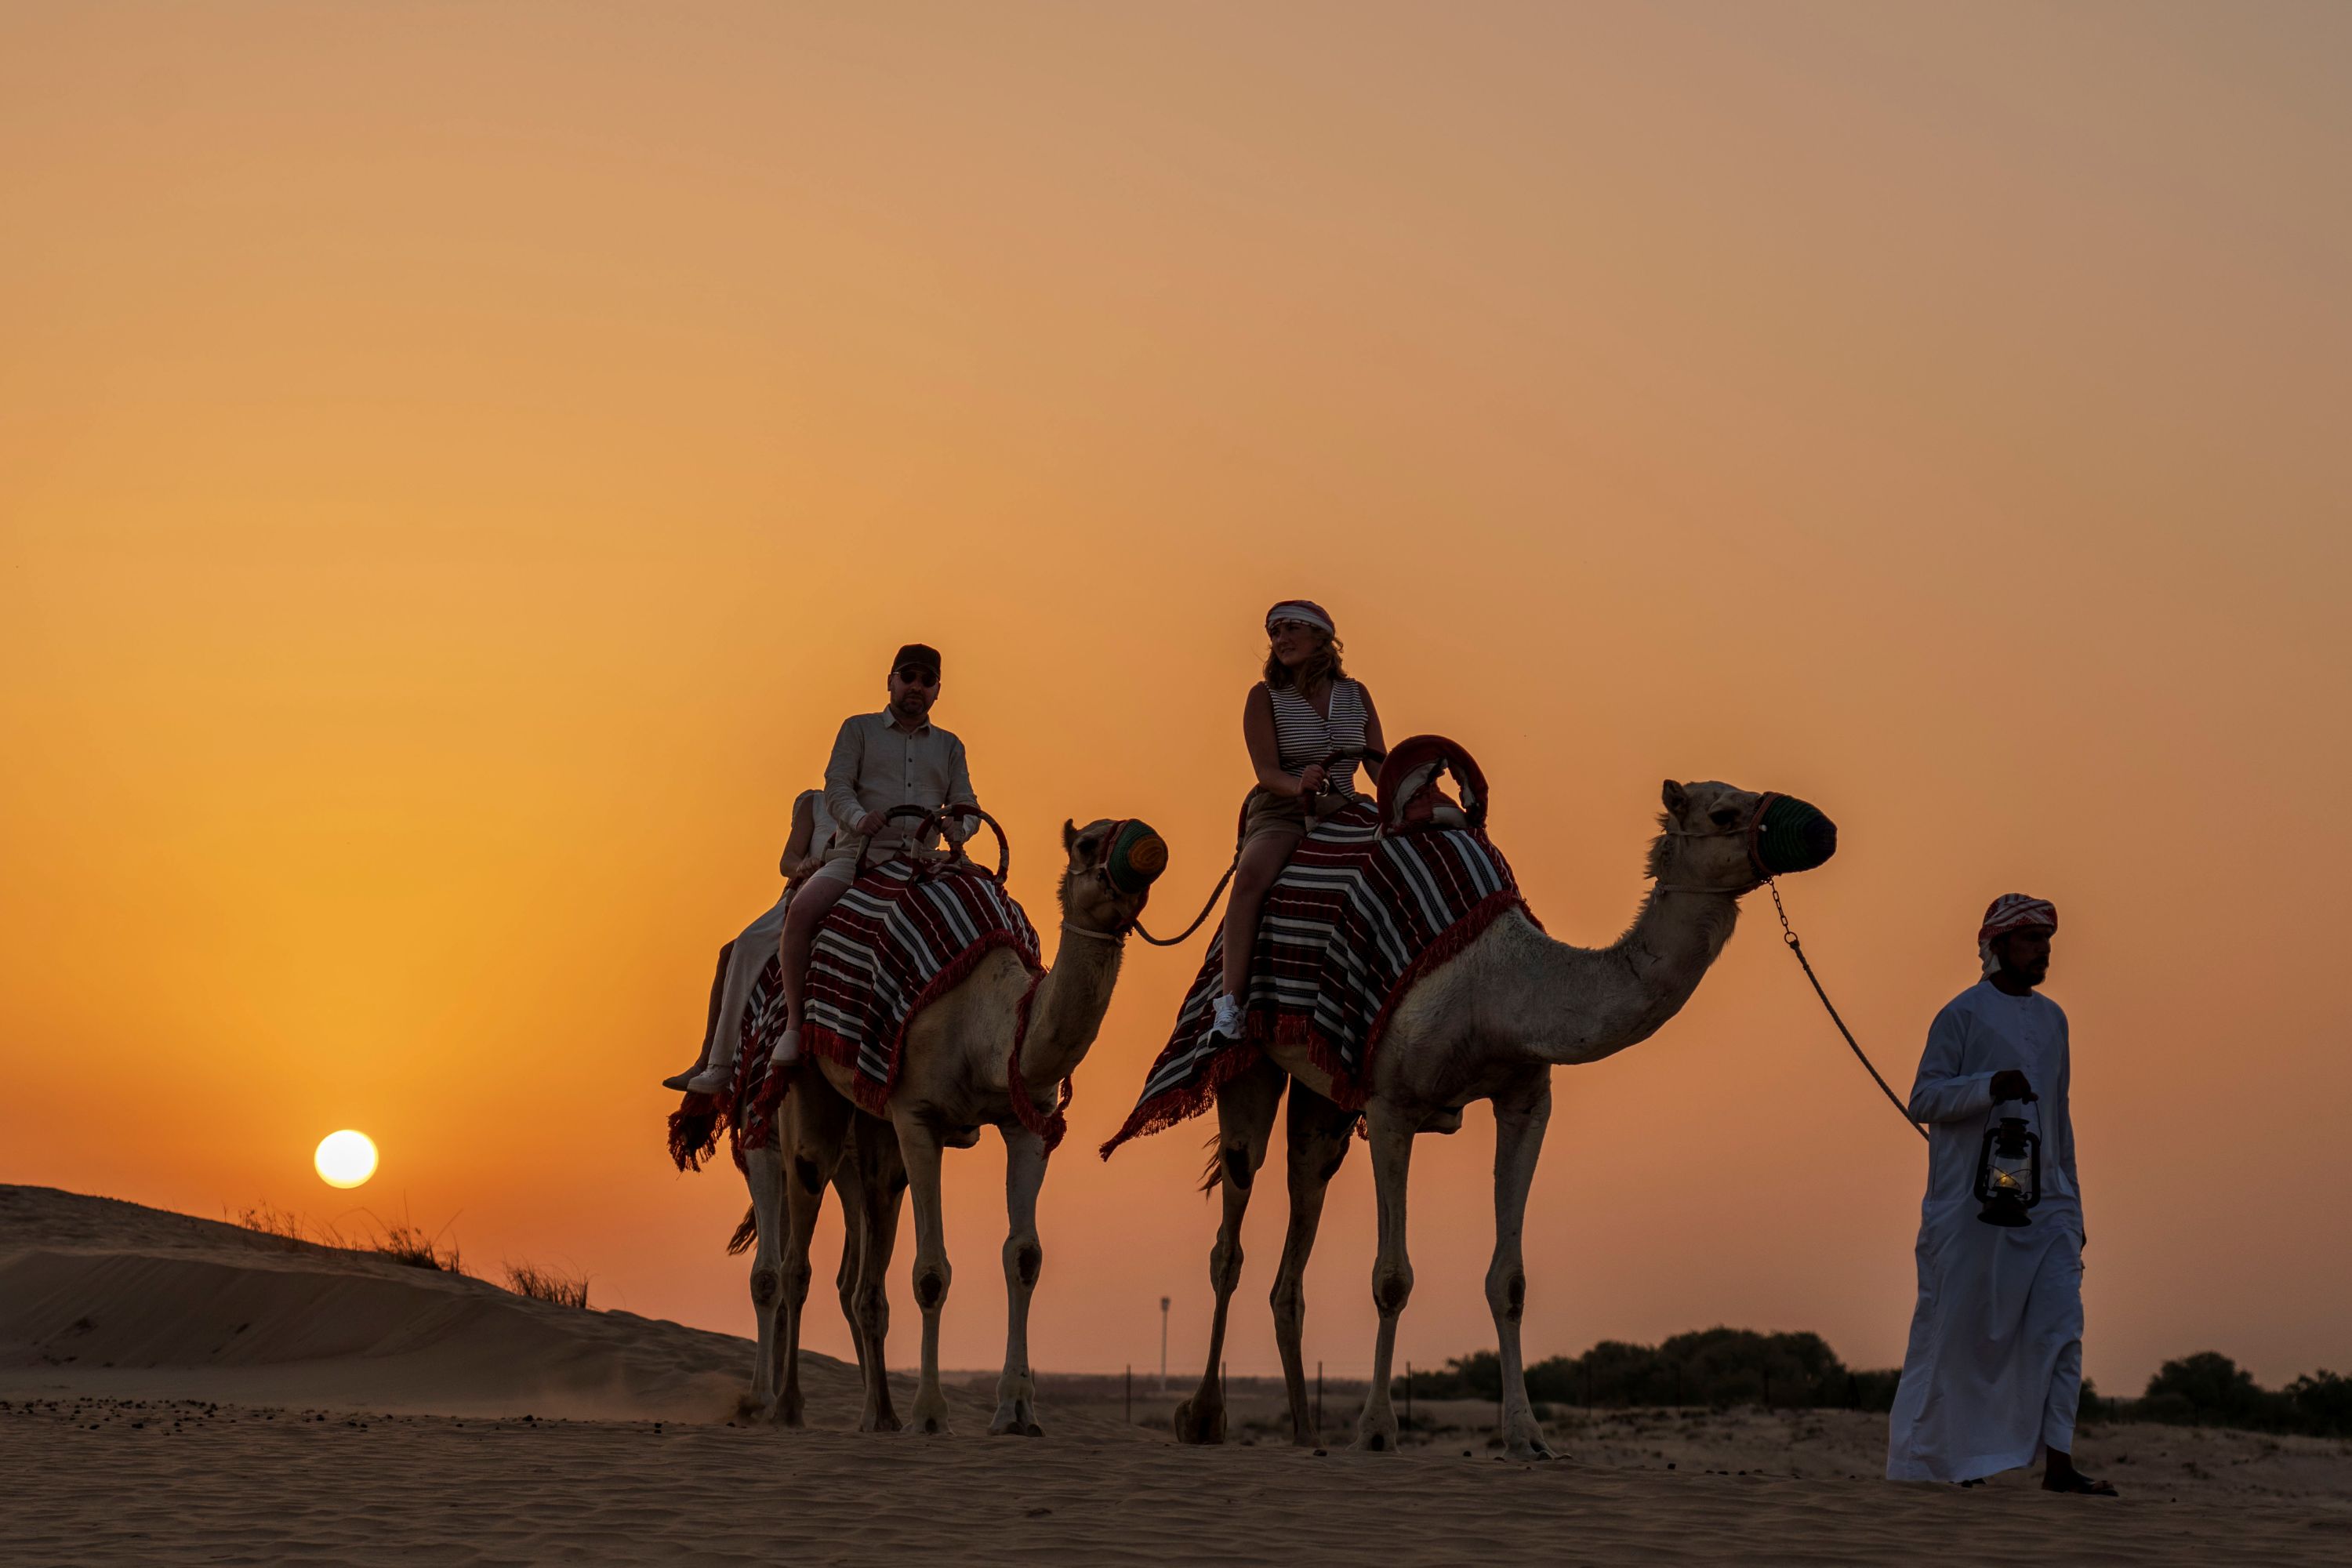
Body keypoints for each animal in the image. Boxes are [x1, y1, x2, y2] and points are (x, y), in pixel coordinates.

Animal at [736, 816, 1165, 1435]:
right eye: (1088, 843)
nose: (1148, 856)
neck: (986, 1024)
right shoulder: (917, 1116)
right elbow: (931, 1271)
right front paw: (932, 1413)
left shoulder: (1028, 1119)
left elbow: (1024, 1257)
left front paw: (1017, 1409)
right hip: (804, 1102)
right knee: (794, 1256)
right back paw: (785, 1406)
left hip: (871, 1135)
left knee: (861, 1271)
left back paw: (877, 1414)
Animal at [1169, 778, 1836, 1460]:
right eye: (1724, 813)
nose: (1824, 831)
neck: (1499, 986)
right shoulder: (1391, 1105)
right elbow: (1392, 1277)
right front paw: (1378, 1429)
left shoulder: (1524, 1100)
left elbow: (1509, 1282)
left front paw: (1527, 1435)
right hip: (1251, 1059)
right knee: (1233, 1223)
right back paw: (1203, 1417)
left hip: (1324, 1096)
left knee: (1302, 1204)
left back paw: (1306, 1433)